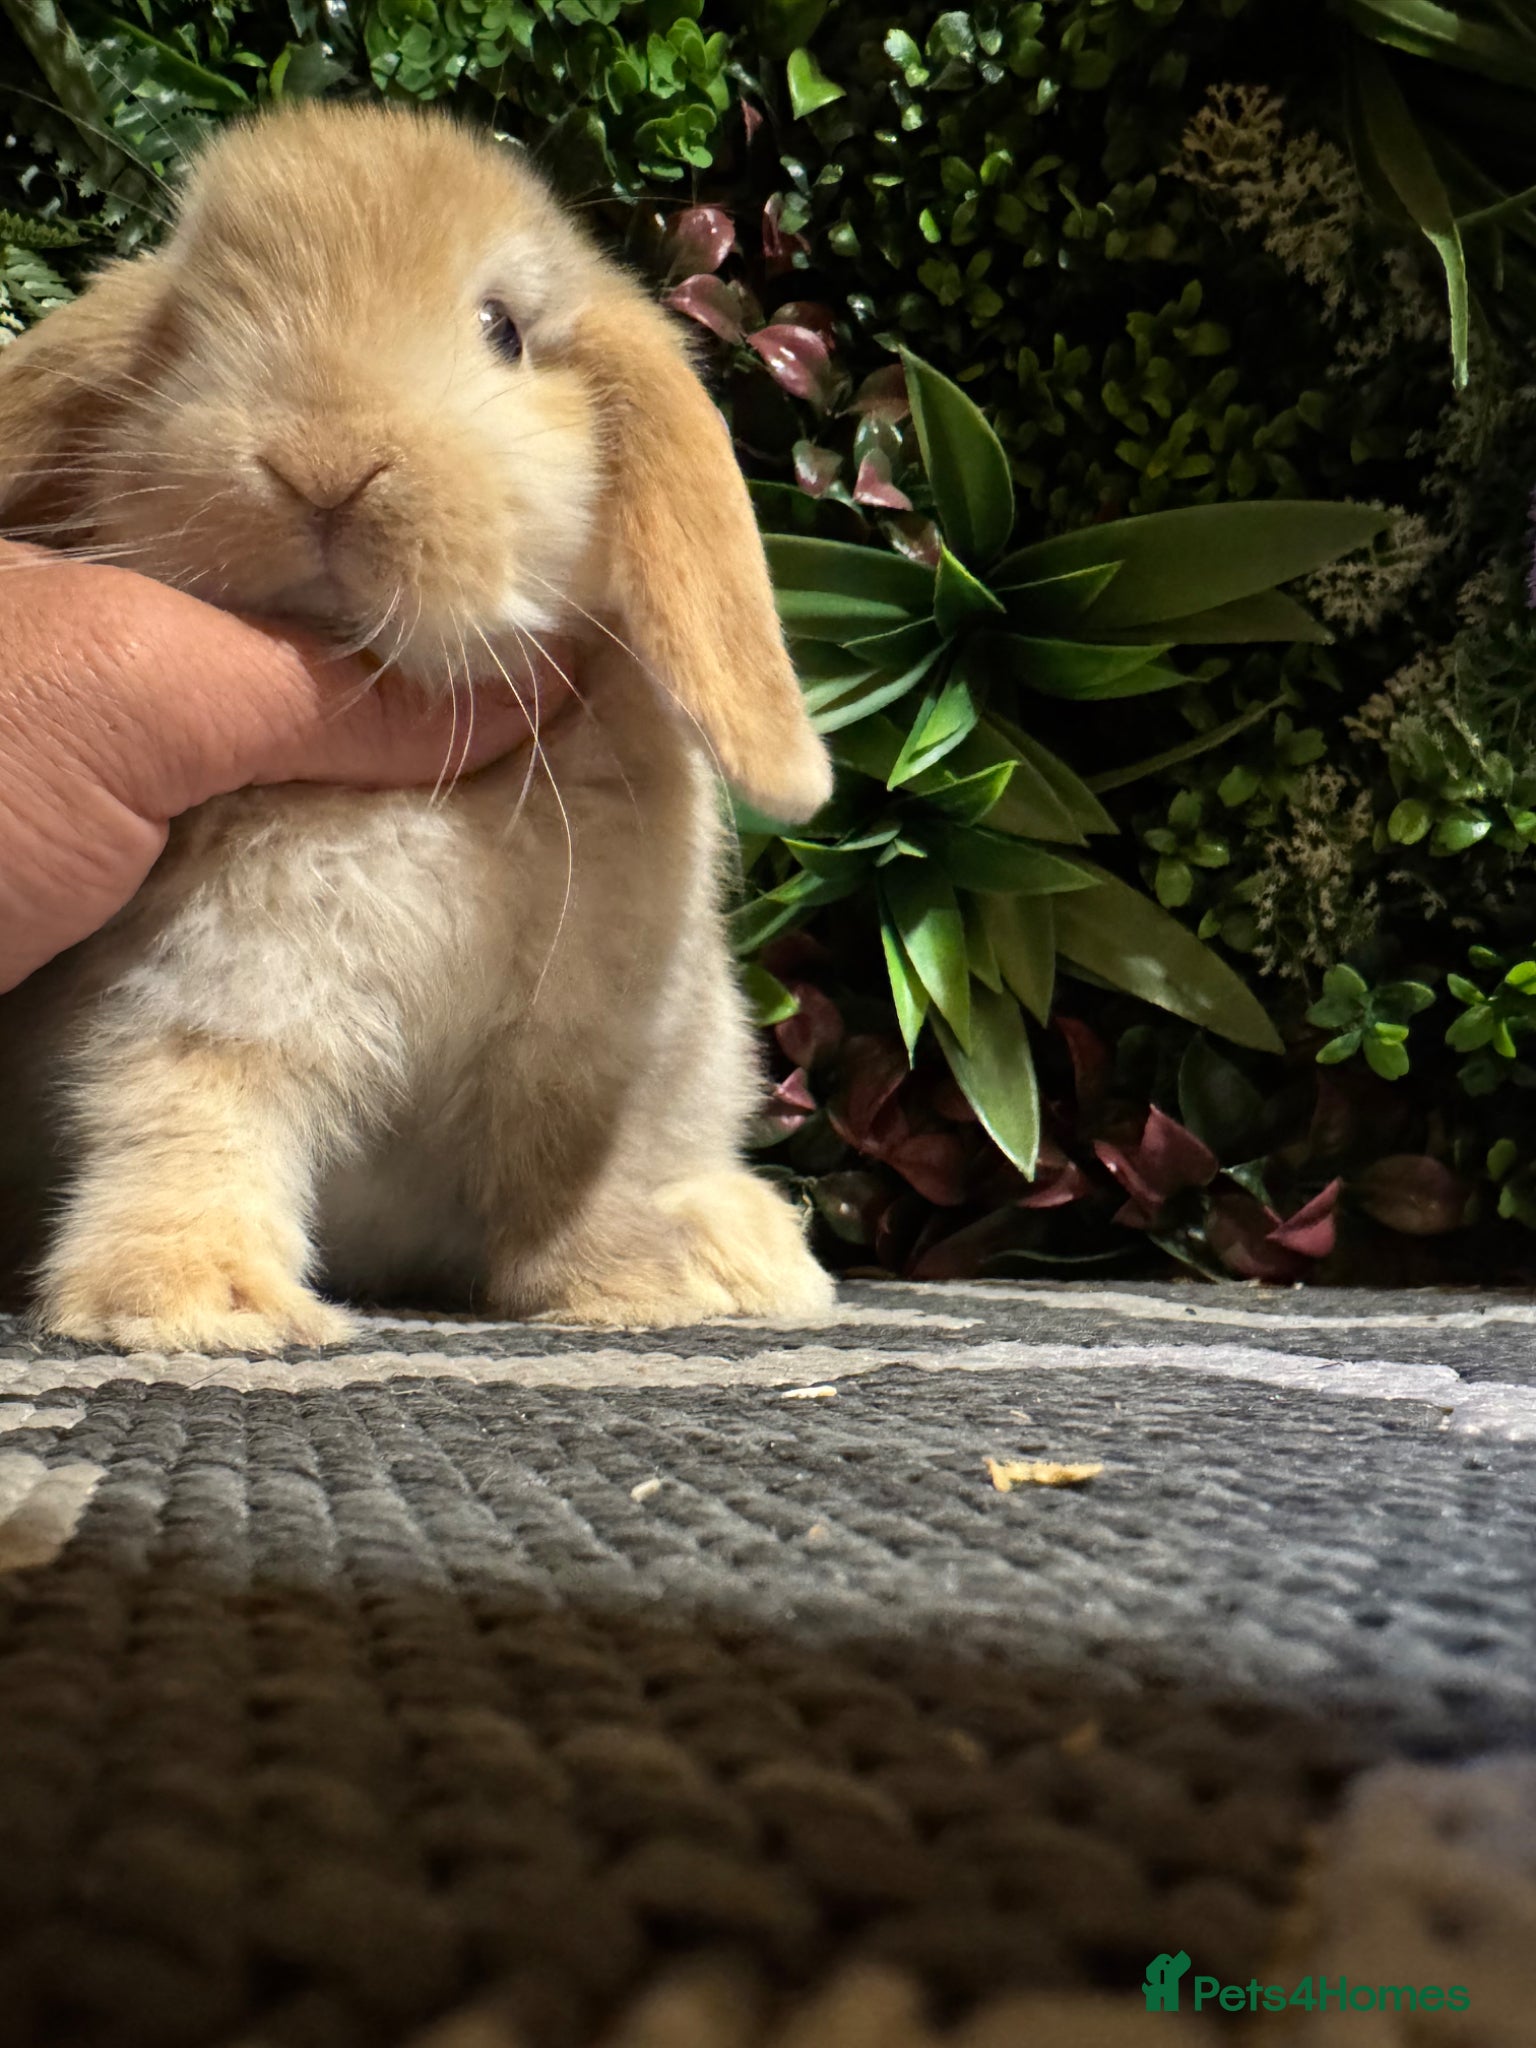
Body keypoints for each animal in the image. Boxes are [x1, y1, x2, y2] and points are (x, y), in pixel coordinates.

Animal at [0, 99, 836, 1351]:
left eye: (504, 329)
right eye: (189, 327)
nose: (324, 462)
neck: (422, 795)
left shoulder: (591, 1050)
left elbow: (585, 1167)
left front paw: (632, 1287)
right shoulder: (214, 996)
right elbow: (187, 1120)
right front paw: (194, 1302)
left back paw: (742, 1246)